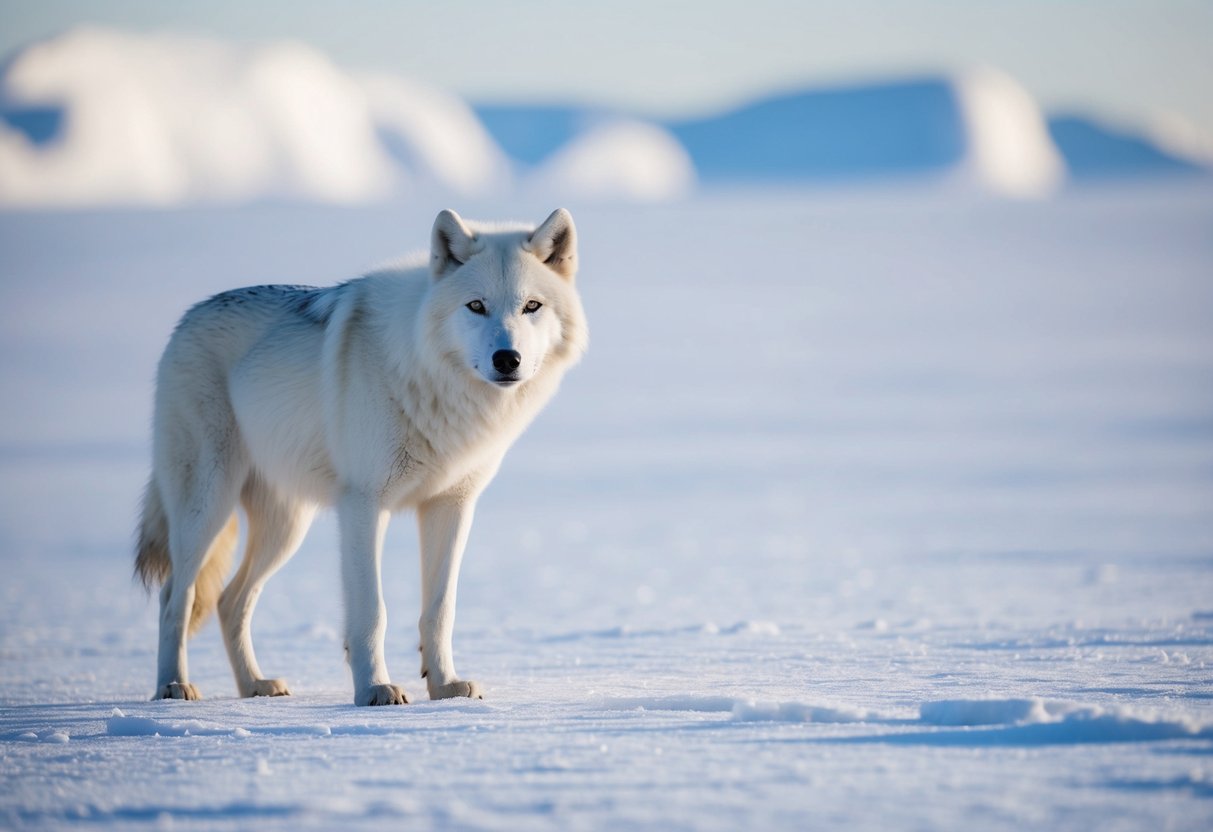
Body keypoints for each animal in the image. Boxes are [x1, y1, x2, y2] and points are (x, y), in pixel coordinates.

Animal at [135, 208, 587, 705]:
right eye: (475, 306)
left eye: (531, 306)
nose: (507, 358)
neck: (430, 378)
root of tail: (187, 318)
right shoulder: (363, 506)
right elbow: (372, 610)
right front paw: (375, 689)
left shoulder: (451, 506)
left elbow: (440, 609)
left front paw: (446, 687)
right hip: (207, 506)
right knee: (176, 596)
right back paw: (173, 685)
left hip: (285, 527)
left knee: (229, 600)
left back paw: (255, 685)